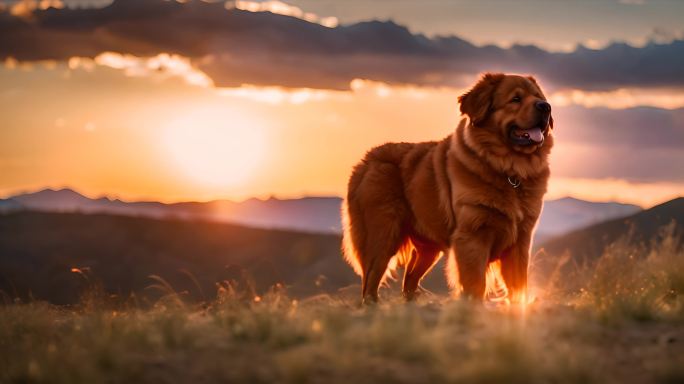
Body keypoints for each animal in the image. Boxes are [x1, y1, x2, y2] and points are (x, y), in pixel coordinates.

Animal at [342, 73, 556, 304]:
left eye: (538, 97)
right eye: (515, 99)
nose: (546, 107)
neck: (509, 171)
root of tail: (366, 160)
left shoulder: (520, 240)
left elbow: (518, 286)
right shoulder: (473, 236)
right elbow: (476, 283)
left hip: (427, 248)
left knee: (409, 279)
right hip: (382, 236)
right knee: (371, 281)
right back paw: (373, 304)